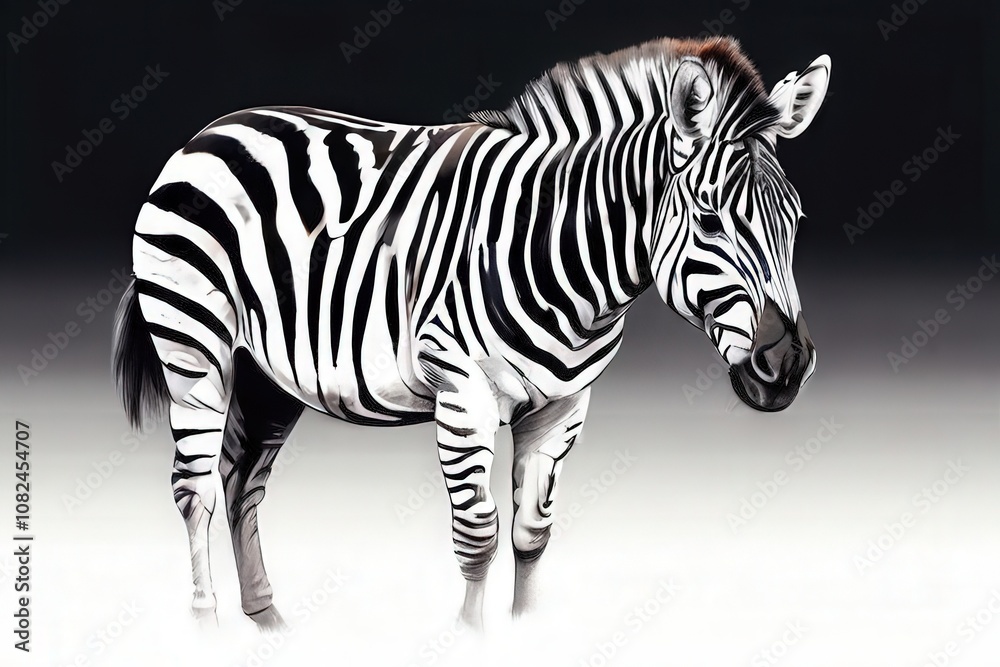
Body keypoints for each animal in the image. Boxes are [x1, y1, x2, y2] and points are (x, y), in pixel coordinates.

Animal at [112, 36, 830, 631]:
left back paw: (266, 619)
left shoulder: (565, 403)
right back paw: (206, 626)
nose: (789, 364)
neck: (558, 252)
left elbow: (533, 531)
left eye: (797, 217)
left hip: (268, 373)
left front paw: (527, 631)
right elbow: (478, 533)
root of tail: (212, 129)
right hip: (194, 344)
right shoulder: (464, 393)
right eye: (708, 218)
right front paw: (471, 636)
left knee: (242, 483)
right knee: (196, 487)